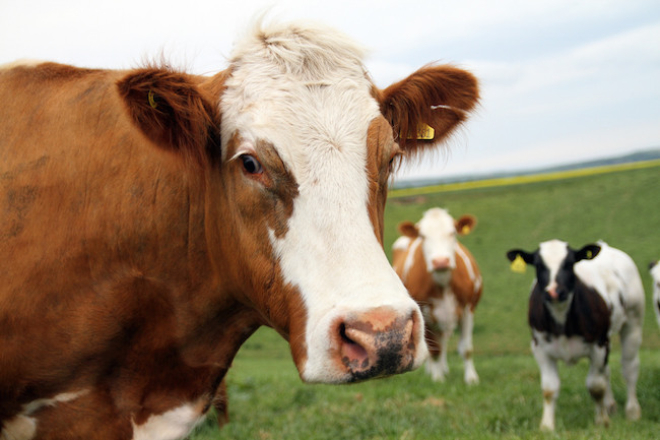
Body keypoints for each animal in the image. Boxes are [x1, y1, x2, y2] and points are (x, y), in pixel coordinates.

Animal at [392, 208, 480, 384]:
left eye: (453, 232)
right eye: (422, 236)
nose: (440, 261)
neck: (442, 283)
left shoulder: (467, 310)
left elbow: (466, 348)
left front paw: (471, 379)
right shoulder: (424, 315)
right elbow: (434, 350)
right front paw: (438, 379)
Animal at [508, 241, 640, 430]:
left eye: (570, 264)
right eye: (539, 265)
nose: (554, 292)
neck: (562, 318)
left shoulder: (599, 344)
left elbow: (595, 386)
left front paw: (601, 421)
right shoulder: (539, 347)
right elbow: (549, 388)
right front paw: (547, 426)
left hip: (633, 321)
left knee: (629, 367)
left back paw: (632, 411)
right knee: (606, 371)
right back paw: (610, 406)